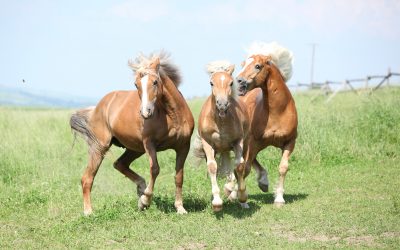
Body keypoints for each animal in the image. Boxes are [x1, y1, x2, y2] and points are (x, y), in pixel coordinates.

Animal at [70, 51, 195, 215]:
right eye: (136, 85)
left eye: (155, 82)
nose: (145, 112)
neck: (172, 116)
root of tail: (97, 108)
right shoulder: (149, 143)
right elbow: (155, 169)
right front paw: (145, 200)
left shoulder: (183, 146)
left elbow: (179, 176)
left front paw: (180, 208)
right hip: (100, 147)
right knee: (87, 178)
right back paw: (89, 212)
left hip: (135, 149)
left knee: (119, 164)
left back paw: (141, 189)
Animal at [192, 60, 248, 211]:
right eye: (211, 83)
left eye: (231, 83)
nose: (222, 104)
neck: (220, 121)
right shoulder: (207, 143)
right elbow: (212, 167)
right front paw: (216, 202)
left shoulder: (238, 141)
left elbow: (239, 166)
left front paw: (241, 196)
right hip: (219, 149)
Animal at [236, 42, 298, 207]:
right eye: (243, 65)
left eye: (258, 66)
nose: (238, 81)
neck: (277, 112)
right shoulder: (253, 142)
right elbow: (245, 168)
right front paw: (240, 198)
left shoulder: (290, 142)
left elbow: (283, 168)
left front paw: (279, 199)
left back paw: (263, 182)